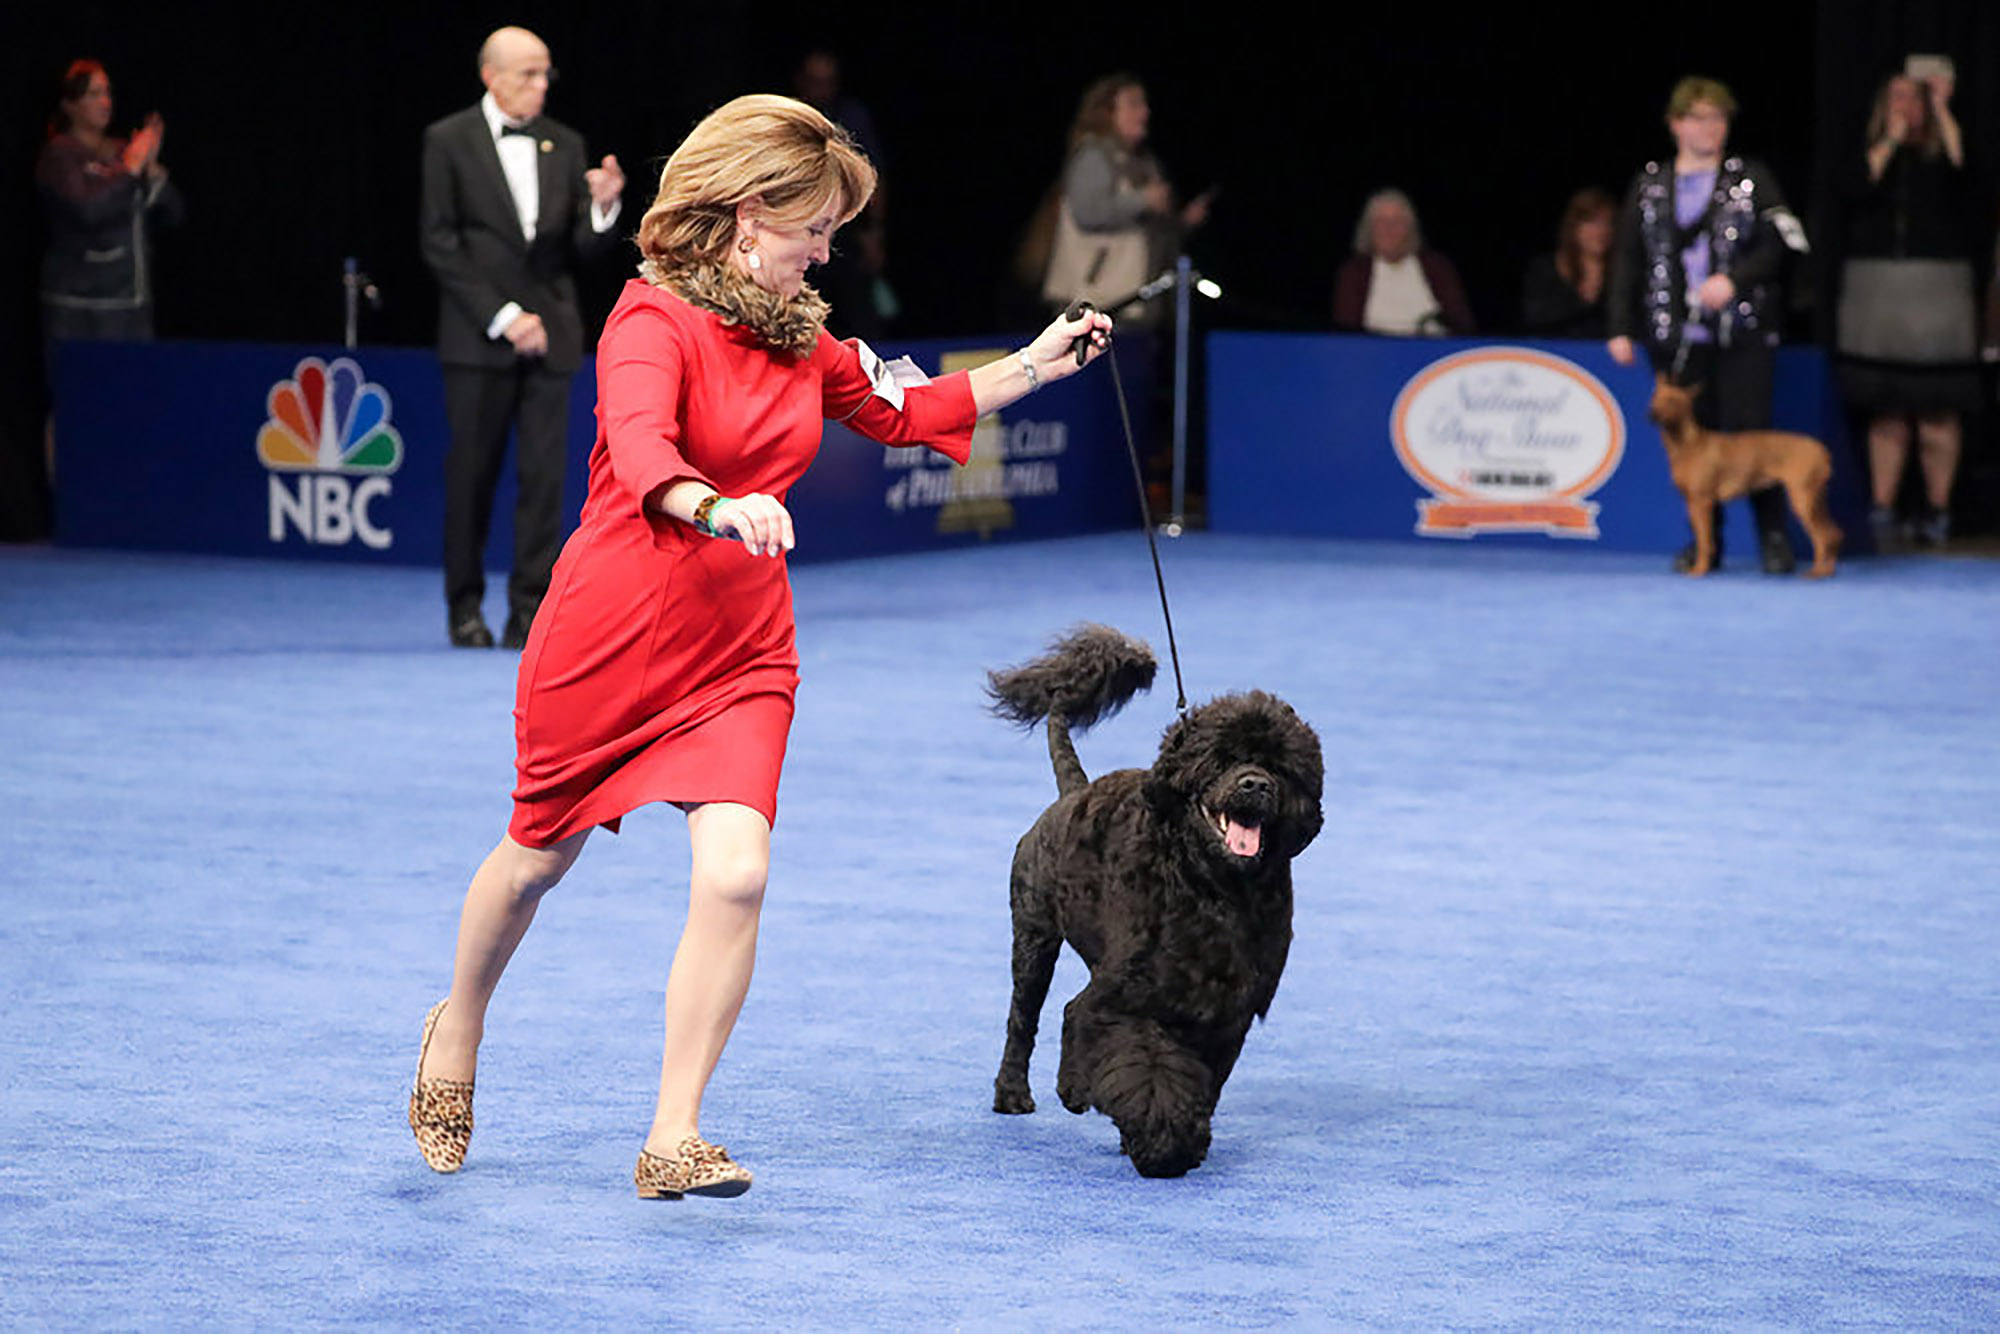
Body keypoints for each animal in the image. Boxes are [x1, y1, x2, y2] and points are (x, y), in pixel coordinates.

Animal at [988, 628, 1328, 1176]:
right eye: (1221, 759)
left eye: (1280, 766)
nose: (1255, 783)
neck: (1217, 890)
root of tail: (1070, 793)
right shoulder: (1130, 1001)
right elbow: (1146, 1072)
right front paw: (1162, 1142)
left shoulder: (1227, 1012)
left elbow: (1201, 1083)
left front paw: (1187, 1137)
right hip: (1035, 935)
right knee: (1028, 1016)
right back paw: (1015, 1095)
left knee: (1068, 1011)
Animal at [1648, 378, 1832, 580]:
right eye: (1655, 397)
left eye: (1673, 400)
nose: (1651, 413)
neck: (1688, 443)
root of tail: (1821, 449)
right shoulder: (1692, 503)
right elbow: (1705, 538)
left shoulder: (1701, 502)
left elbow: (1705, 541)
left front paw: (1699, 570)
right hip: (1815, 501)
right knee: (1833, 533)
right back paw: (1828, 571)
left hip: (1802, 501)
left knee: (1823, 537)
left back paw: (1817, 572)